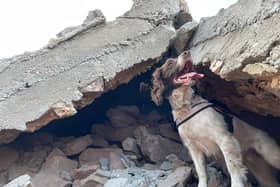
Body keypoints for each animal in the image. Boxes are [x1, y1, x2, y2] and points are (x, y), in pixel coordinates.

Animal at [151, 50, 280, 187]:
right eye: (170, 63)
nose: (187, 52)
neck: (187, 106)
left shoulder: (225, 139)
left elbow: (232, 167)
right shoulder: (194, 148)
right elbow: (201, 172)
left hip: (271, 154)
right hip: (260, 171)